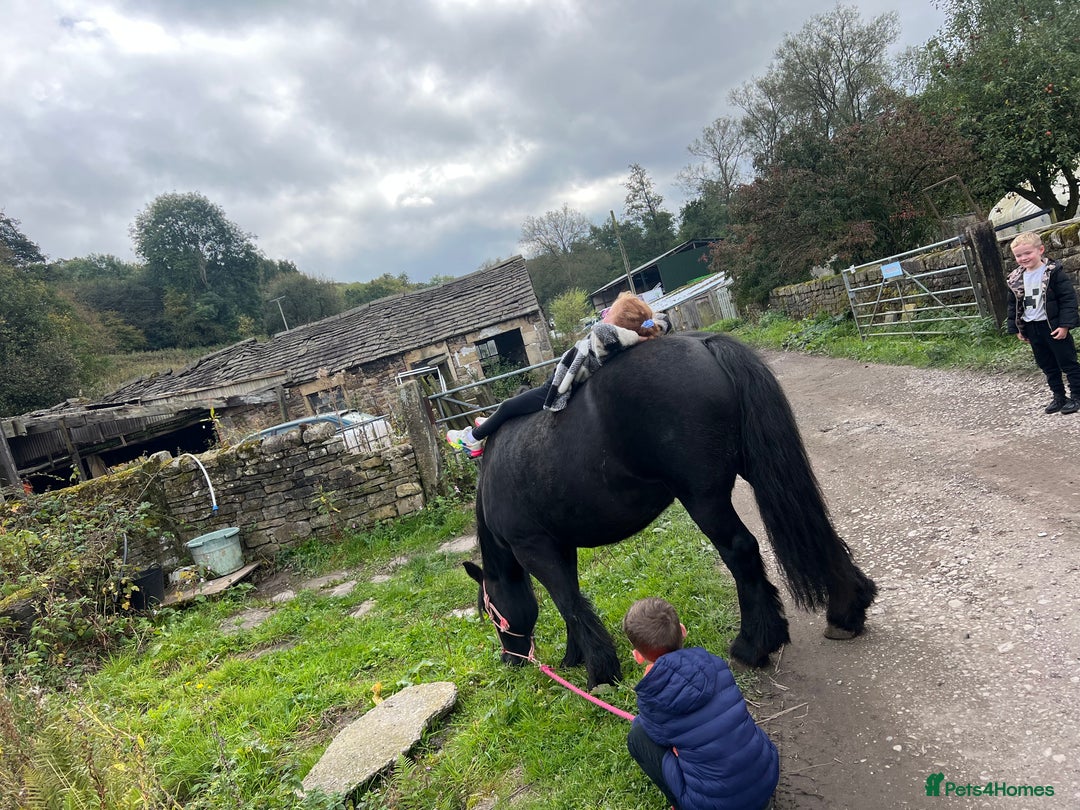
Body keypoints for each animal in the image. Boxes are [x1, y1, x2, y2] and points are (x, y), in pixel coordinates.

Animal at [462, 331, 877, 688]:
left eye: (491, 610)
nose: (511, 658)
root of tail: (705, 344)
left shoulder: (534, 548)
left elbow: (568, 602)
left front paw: (600, 675)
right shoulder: (561, 546)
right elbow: (572, 602)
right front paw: (574, 658)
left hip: (703, 498)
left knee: (741, 550)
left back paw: (753, 644)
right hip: (759, 470)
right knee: (811, 527)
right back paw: (846, 612)